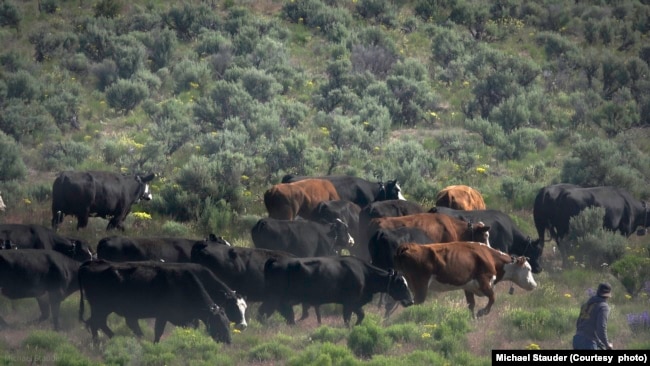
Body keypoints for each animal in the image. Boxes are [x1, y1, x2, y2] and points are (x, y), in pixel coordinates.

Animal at [78, 260, 235, 344]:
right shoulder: (162, 315)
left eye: (228, 322)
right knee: (95, 323)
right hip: (101, 307)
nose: (228, 340)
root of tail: (91, 263)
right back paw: (103, 341)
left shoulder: (184, 319)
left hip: (102, 308)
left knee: (97, 323)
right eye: (218, 323)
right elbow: (158, 332)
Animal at [262, 254, 410, 326]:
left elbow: (360, 315)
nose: (411, 300)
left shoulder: (354, 304)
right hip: (276, 298)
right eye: (401, 284)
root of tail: (276, 260)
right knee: (268, 312)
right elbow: (348, 318)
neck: (364, 273)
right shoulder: (349, 303)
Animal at [390, 243, 536, 318]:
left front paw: (473, 319)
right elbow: (493, 298)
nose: (534, 285)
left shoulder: (469, 287)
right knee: (414, 303)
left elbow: (471, 304)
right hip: (421, 285)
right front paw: (482, 312)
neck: (490, 257)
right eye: (528, 269)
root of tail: (408, 246)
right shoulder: (484, 281)